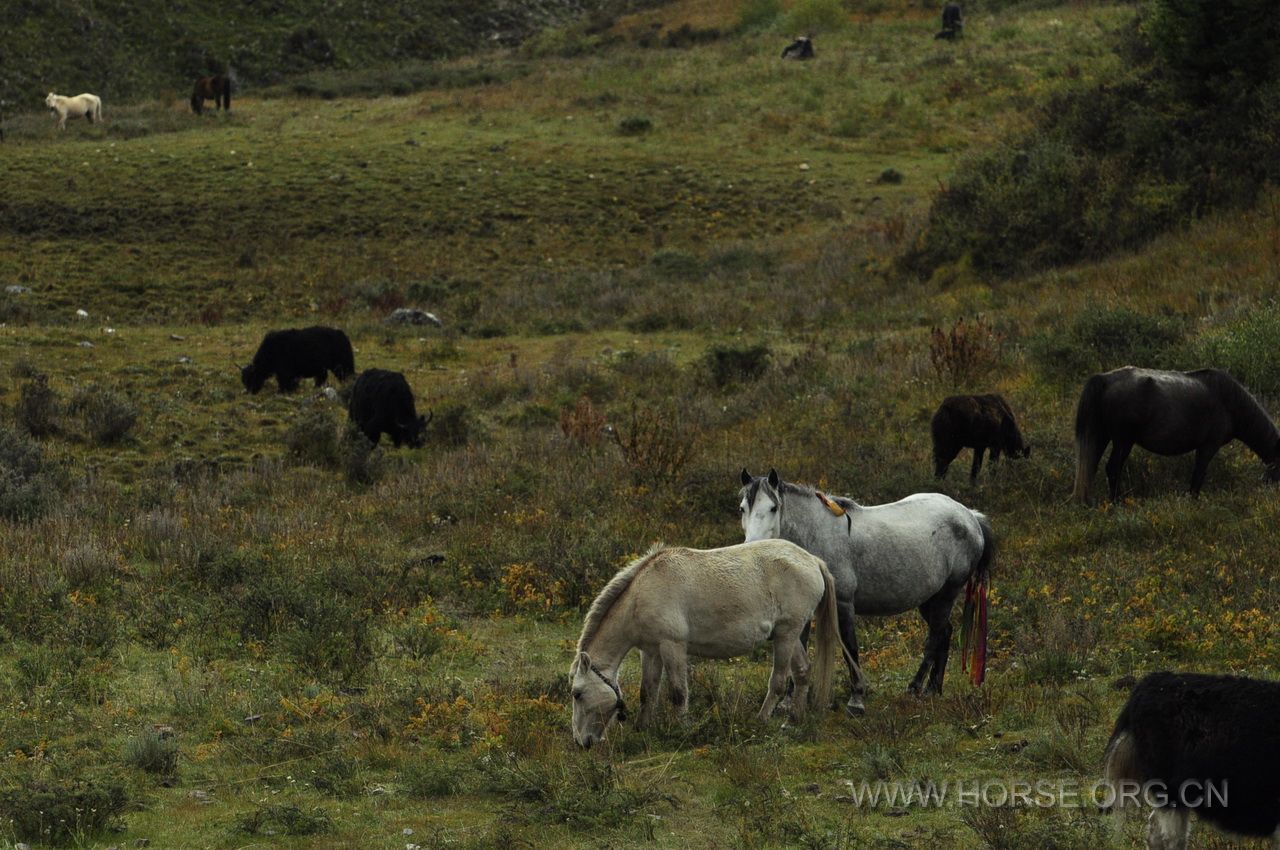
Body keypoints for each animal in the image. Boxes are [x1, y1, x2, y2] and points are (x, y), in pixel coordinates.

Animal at [568, 540, 849, 747]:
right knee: (802, 672)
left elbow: (678, 693)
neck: (642, 595)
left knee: (779, 682)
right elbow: (647, 692)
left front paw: (681, 731)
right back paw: (793, 721)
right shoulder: (650, 651)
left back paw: (760, 720)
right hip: (787, 636)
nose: (581, 742)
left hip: (787, 636)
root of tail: (813, 560)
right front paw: (642, 728)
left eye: (577, 694)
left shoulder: (672, 646)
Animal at [737, 468, 993, 711]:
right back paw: (933, 689)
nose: (753, 547)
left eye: (773, 508)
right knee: (945, 632)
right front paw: (788, 702)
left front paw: (856, 700)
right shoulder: (801, 610)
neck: (817, 537)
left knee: (936, 636)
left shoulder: (843, 604)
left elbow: (850, 648)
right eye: (742, 509)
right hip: (931, 599)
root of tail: (970, 516)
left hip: (947, 594)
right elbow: (797, 652)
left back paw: (915, 687)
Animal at [1075, 366, 1274, 501]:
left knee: (1092, 467)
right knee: (1113, 468)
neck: (1230, 401)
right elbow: (1199, 474)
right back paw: (1116, 502)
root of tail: (1104, 379)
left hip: (1102, 437)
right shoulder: (1209, 446)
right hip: (1123, 442)